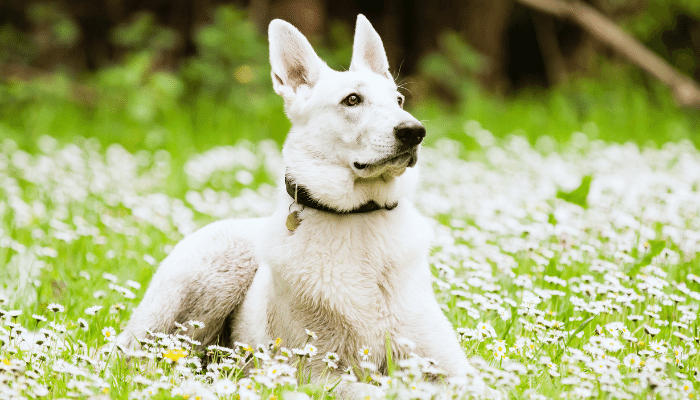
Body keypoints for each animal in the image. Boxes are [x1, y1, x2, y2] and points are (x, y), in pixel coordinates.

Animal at [119, 14, 476, 398]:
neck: (359, 217)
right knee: (146, 356)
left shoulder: (453, 368)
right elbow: (380, 390)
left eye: (398, 99)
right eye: (352, 100)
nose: (414, 131)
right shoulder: (320, 375)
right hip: (210, 279)